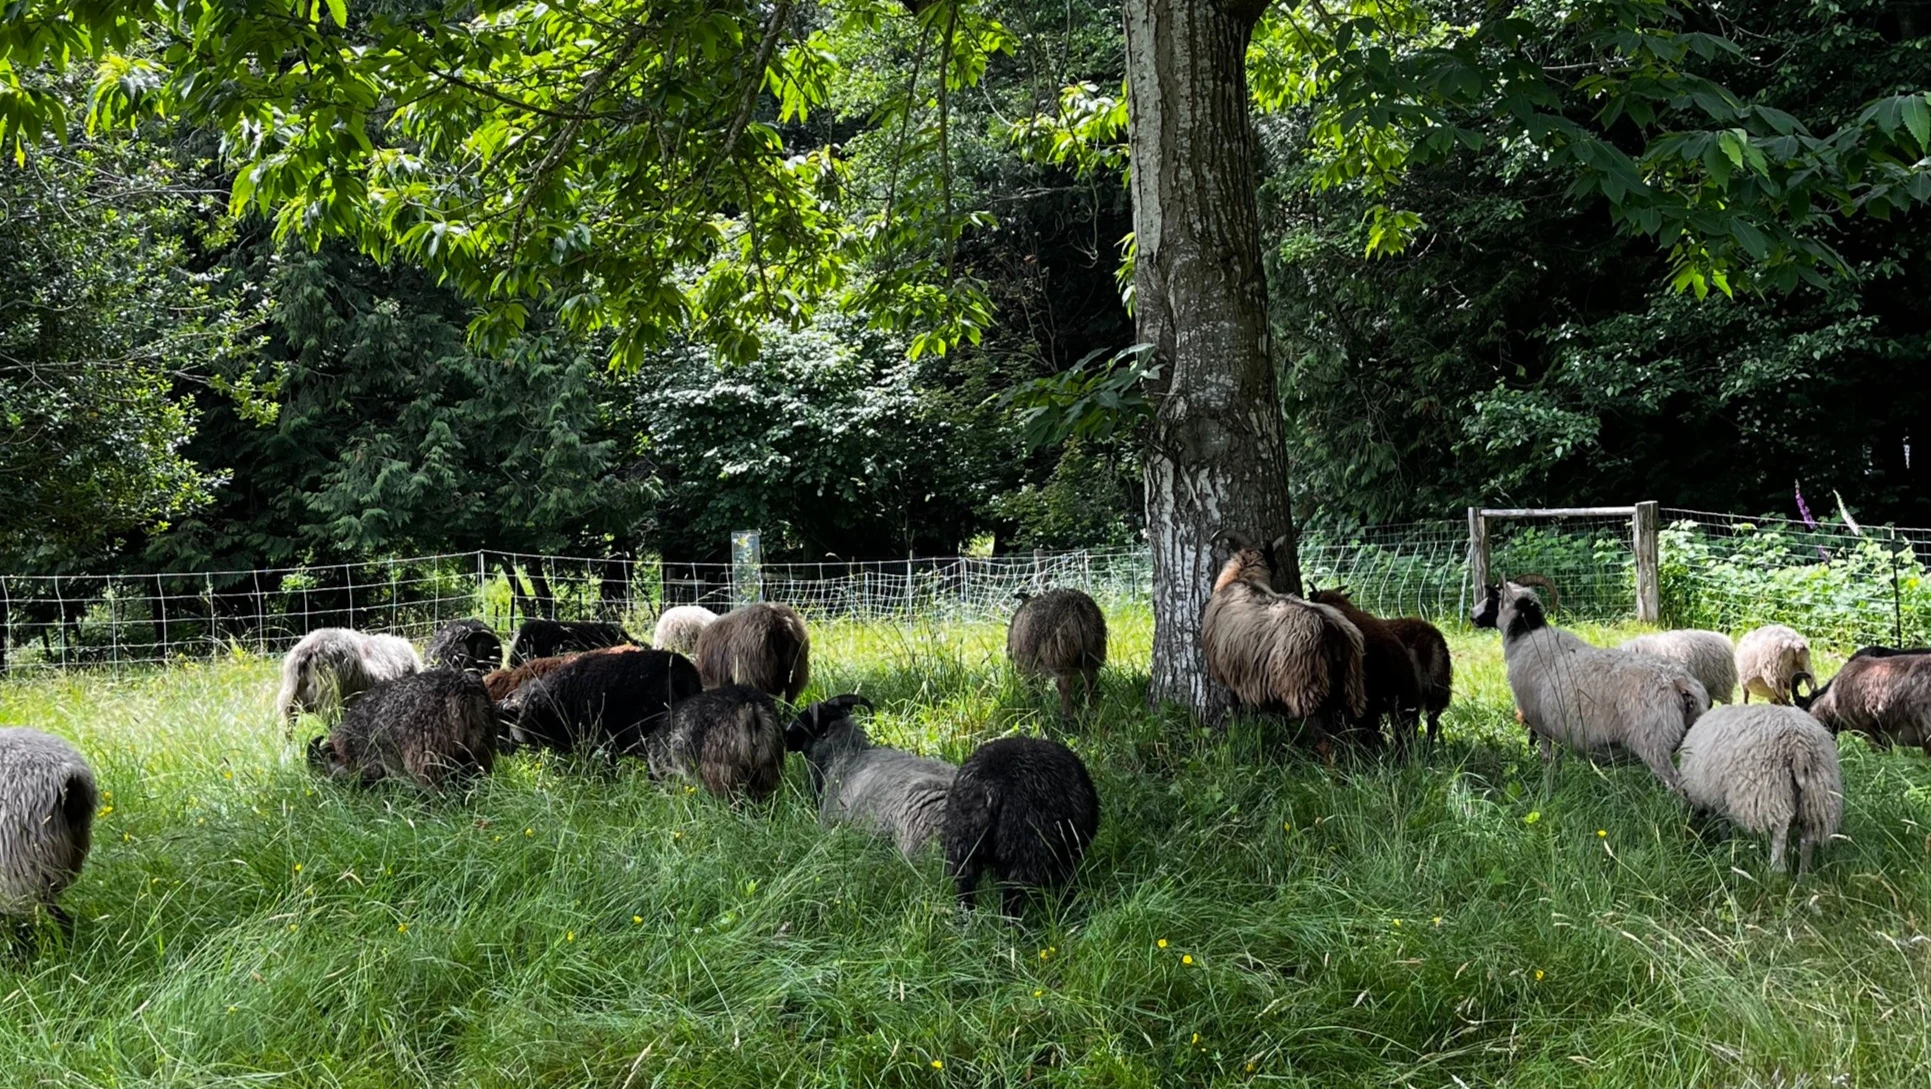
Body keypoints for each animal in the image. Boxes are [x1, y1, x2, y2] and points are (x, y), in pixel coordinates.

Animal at [1007, 589, 1108, 719]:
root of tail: (1076, 608)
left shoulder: (1027, 665)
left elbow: (1033, 686)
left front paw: (1034, 703)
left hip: (1058, 655)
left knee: (1064, 685)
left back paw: (1066, 716)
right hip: (1094, 652)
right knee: (1089, 681)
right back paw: (1089, 710)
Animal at [1200, 531, 1367, 759]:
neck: (1241, 578)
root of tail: (1331, 629)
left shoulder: (1231, 670)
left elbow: (1236, 705)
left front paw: (1236, 730)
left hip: (1307, 687)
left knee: (1324, 739)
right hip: (1350, 686)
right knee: (1351, 730)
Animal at [1472, 580, 1707, 793]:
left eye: (1491, 597)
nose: (1472, 615)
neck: (1525, 635)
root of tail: (1679, 682)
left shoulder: (1540, 723)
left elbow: (1547, 759)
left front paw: (1547, 790)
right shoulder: (1559, 726)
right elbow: (1557, 760)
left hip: (1654, 743)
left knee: (1677, 785)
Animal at [1677, 704, 1843, 874]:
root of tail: (1798, 745)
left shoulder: (1714, 798)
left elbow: (1721, 822)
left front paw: (1725, 842)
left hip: (1769, 790)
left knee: (1780, 831)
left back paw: (1777, 869)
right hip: (1817, 796)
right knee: (1808, 837)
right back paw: (1804, 874)